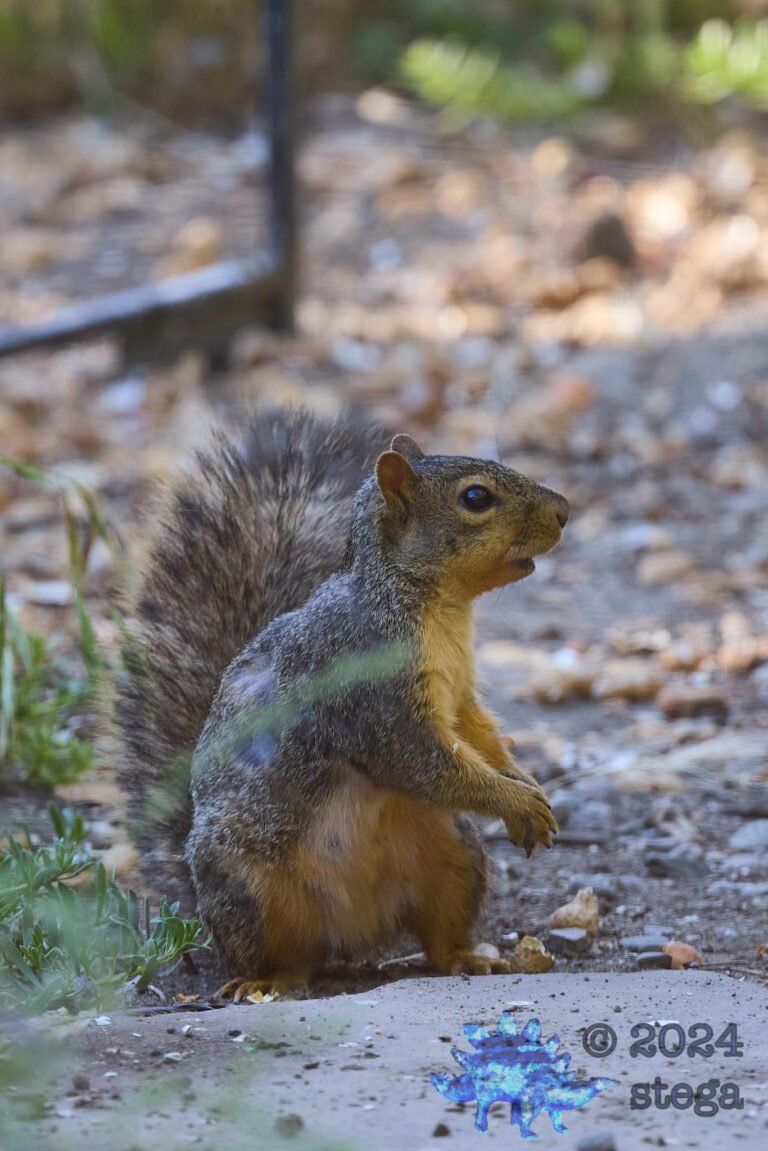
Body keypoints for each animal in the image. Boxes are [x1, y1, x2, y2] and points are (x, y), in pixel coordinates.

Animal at [115, 408, 569, 999]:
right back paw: (264, 981)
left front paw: (525, 783)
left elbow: (479, 735)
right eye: (476, 498)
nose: (565, 511)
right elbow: (421, 763)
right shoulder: (374, 698)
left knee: (437, 937)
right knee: (283, 956)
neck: (430, 606)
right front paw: (515, 802)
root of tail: (354, 932)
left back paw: (468, 958)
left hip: (455, 855)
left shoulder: (458, 692)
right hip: (246, 885)